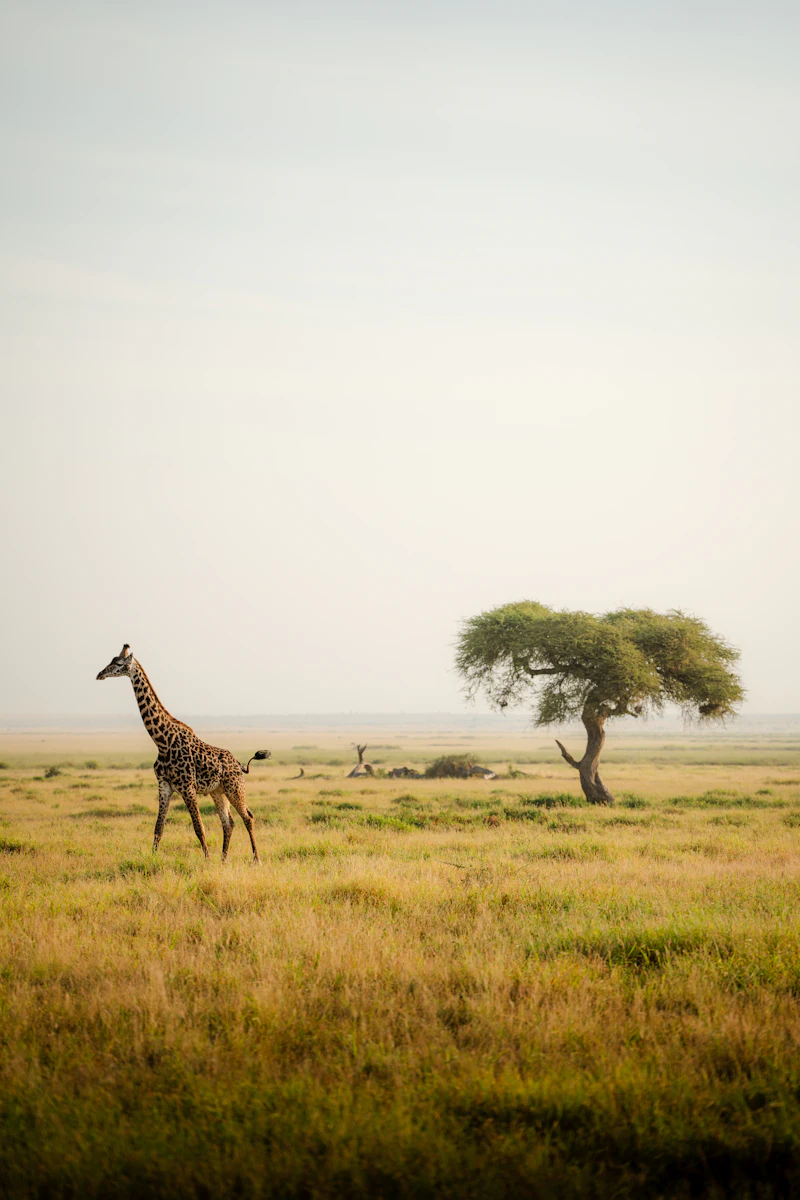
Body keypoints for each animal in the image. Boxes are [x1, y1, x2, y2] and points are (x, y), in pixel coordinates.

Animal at [96, 645, 268, 862]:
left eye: (118, 663)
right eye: (111, 660)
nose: (99, 674)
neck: (162, 741)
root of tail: (239, 764)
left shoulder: (187, 787)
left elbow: (199, 827)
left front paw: (207, 860)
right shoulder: (164, 785)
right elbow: (158, 828)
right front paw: (153, 858)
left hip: (234, 787)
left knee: (248, 817)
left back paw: (256, 860)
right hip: (218, 791)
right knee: (228, 822)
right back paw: (223, 860)